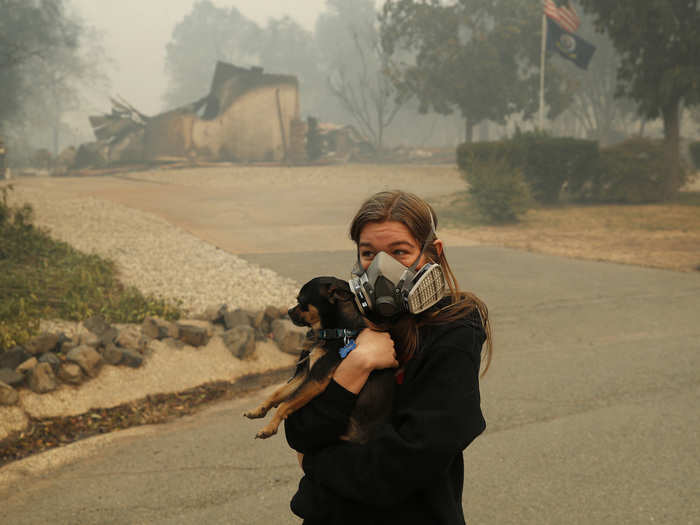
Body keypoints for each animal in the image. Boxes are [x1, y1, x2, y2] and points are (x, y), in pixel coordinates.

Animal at [243, 276, 394, 440]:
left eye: (301, 301)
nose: (288, 311)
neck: (334, 331)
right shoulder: (303, 376)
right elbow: (277, 393)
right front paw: (259, 410)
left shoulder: (315, 380)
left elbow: (285, 403)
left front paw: (269, 427)